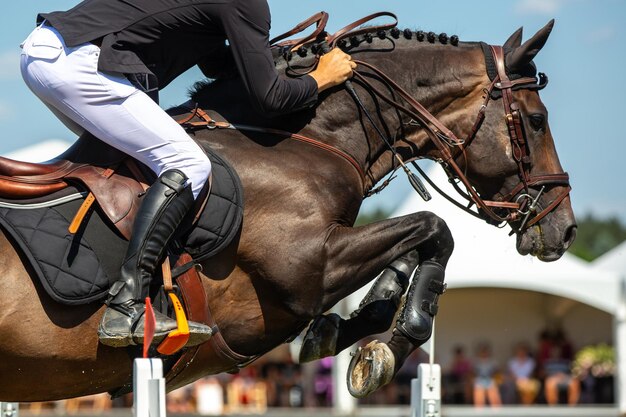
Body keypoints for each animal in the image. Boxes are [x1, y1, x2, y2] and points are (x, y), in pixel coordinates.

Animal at [0, 17, 576, 400]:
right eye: (538, 120)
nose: (564, 229)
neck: (300, 141)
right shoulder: (307, 268)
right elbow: (434, 229)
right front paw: (390, 346)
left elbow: (416, 241)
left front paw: (355, 325)